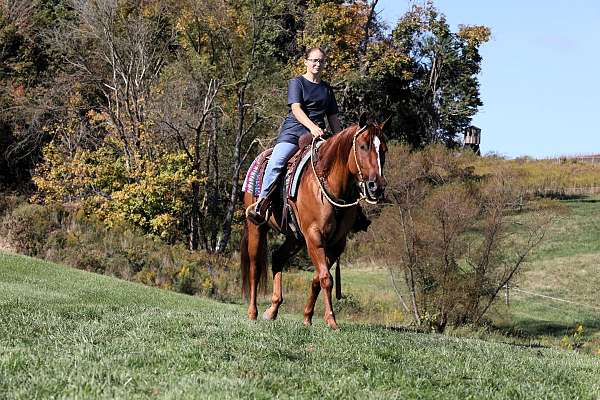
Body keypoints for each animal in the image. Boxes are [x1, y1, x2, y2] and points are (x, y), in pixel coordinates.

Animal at [240, 120, 390, 330]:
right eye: (363, 146)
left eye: (383, 149)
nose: (376, 187)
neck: (330, 185)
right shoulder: (314, 236)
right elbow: (326, 278)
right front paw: (331, 320)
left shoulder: (336, 243)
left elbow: (318, 277)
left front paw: (307, 317)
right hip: (257, 227)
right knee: (255, 267)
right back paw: (252, 313)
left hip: (295, 237)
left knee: (277, 258)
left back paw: (272, 310)